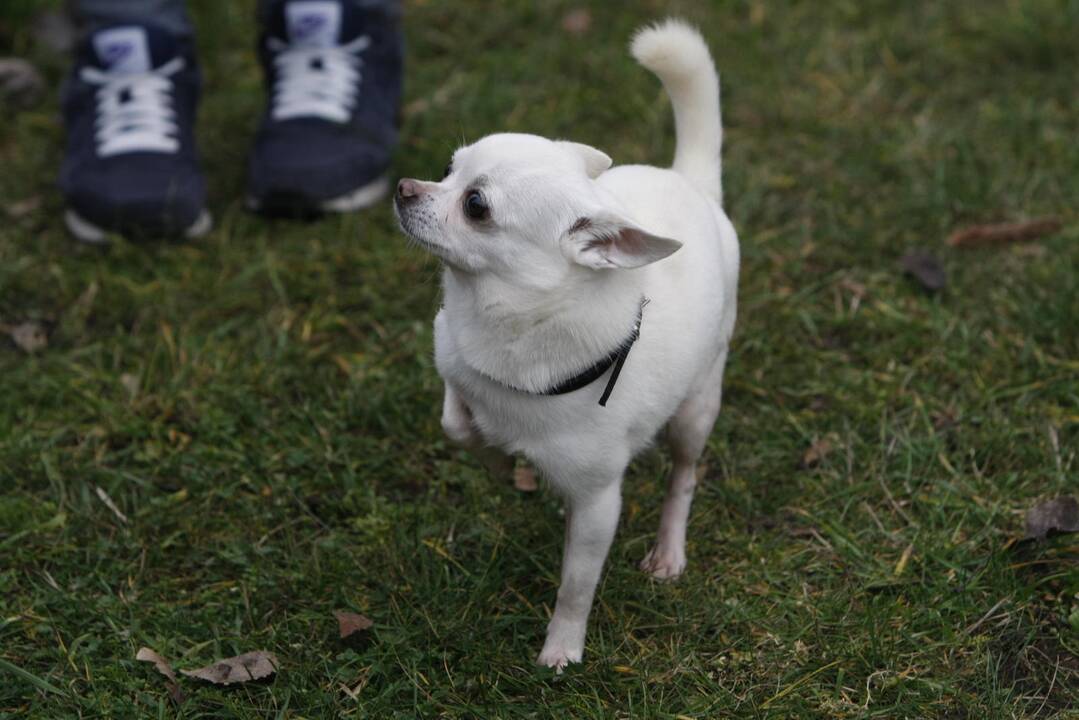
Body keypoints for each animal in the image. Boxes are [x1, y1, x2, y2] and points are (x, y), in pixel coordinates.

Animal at [397, 18, 742, 669]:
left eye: (475, 205)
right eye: (448, 168)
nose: (404, 187)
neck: (506, 322)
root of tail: (691, 182)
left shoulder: (598, 503)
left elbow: (576, 585)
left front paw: (562, 647)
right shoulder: (455, 368)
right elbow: (458, 425)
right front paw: (500, 461)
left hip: (697, 406)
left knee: (684, 473)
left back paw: (669, 548)